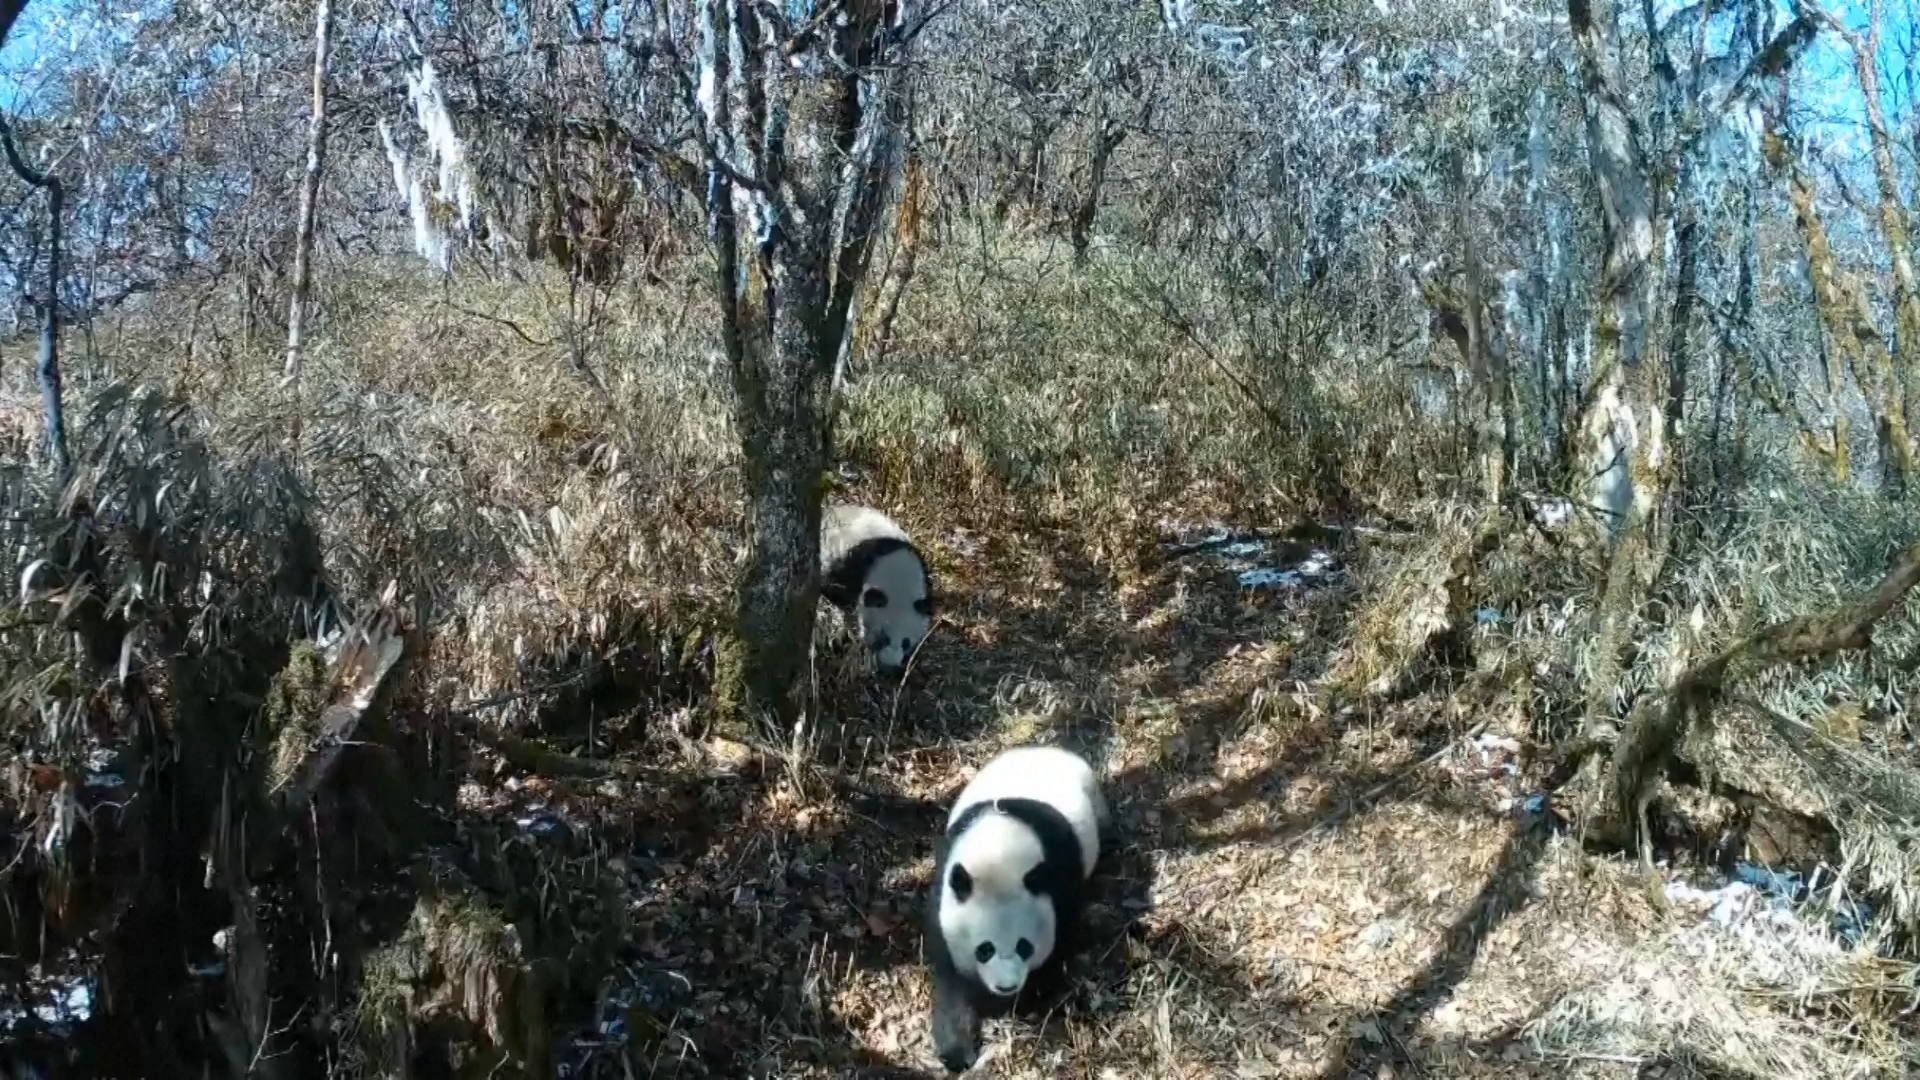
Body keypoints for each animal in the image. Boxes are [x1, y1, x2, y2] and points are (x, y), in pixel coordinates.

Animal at [925, 744, 1109, 1073]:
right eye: (984, 949)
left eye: (1024, 946)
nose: (1006, 986)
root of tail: (1043, 748)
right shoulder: (946, 887)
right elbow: (951, 981)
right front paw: (957, 1051)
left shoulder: (1059, 881)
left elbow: (1060, 941)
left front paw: (1031, 998)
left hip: (1093, 799)